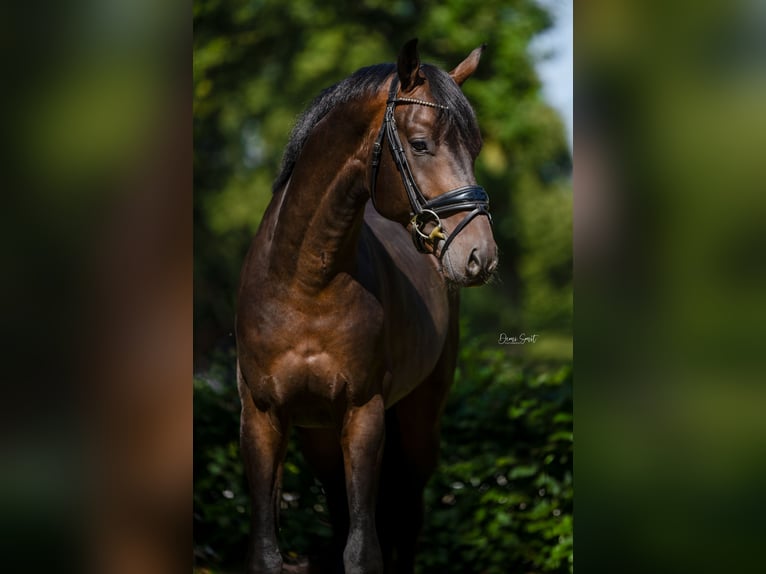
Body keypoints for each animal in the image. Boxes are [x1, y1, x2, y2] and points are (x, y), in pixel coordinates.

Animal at [236, 38, 498, 572]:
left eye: (476, 148)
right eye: (419, 144)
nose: (480, 255)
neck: (305, 284)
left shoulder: (363, 414)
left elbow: (363, 551)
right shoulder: (262, 416)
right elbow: (268, 552)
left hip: (419, 423)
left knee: (407, 519)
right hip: (318, 437)